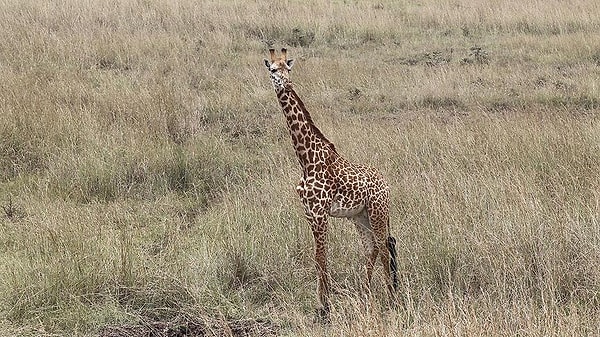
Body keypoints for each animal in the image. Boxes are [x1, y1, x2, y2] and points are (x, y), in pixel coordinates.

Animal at [264, 48, 398, 316]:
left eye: (288, 68)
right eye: (272, 69)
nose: (286, 84)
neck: (306, 159)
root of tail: (386, 184)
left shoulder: (319, 213)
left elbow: (321, 257)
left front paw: (325, 307)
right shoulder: (309, 213)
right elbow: (318, 258)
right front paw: (323, 303)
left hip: (378, 212)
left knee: (384, 248)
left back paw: (390, 298)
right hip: (360, 216)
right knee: (372, 249)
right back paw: (365, 292)